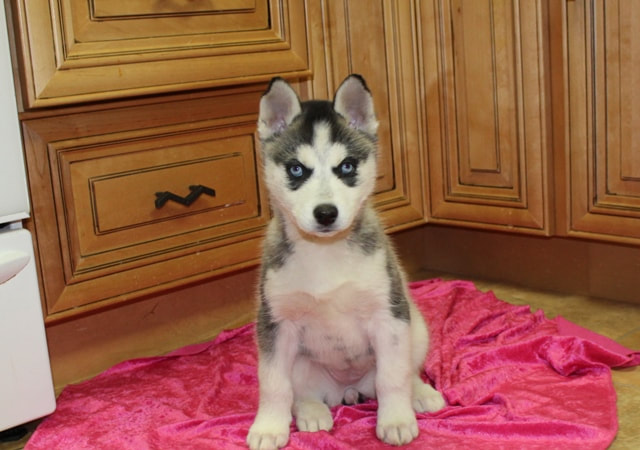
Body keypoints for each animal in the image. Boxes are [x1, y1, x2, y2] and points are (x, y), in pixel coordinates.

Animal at [246, 75, 444, 448]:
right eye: (296, 169)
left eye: (347, 167)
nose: (325, 213)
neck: (325, 251)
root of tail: (348, 390)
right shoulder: (275, 323)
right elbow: (274, 384)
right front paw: (268, 428)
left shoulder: (388, 315)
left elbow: (392, 377)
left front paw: (396, 419)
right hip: (303, 362)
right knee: (300, 392)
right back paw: (311, 412)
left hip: (415, 326)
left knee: (404, 369)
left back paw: (420, 393)